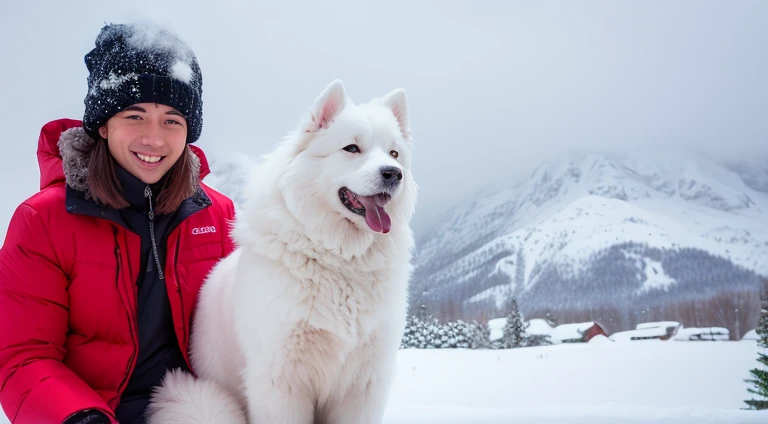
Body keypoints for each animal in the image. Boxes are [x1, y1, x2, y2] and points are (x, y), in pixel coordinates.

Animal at [147, 78, 416, 422]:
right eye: (352, 149)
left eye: (394, 153)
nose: (393, 173)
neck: (340, 258)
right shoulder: (280, 381)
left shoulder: (363, 386)